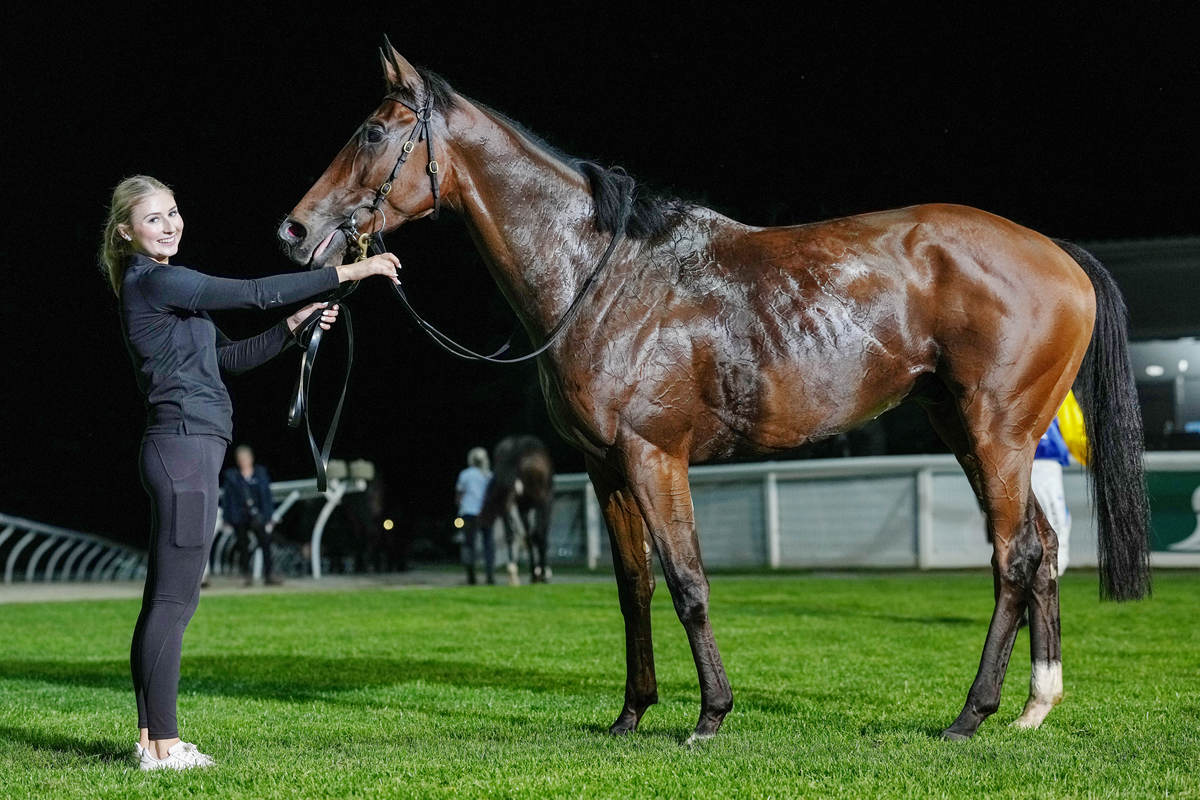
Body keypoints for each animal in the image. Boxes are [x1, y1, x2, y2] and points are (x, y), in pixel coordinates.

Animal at [478, 435, 555, 585]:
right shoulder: (545, 501)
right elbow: (539, 535)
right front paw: (542, 574)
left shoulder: (522, 506)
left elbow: (528, 537)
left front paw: (535, 574)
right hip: (540, 499)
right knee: (538, 535)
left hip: (509, 500)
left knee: (512, 534)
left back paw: (513, 575)